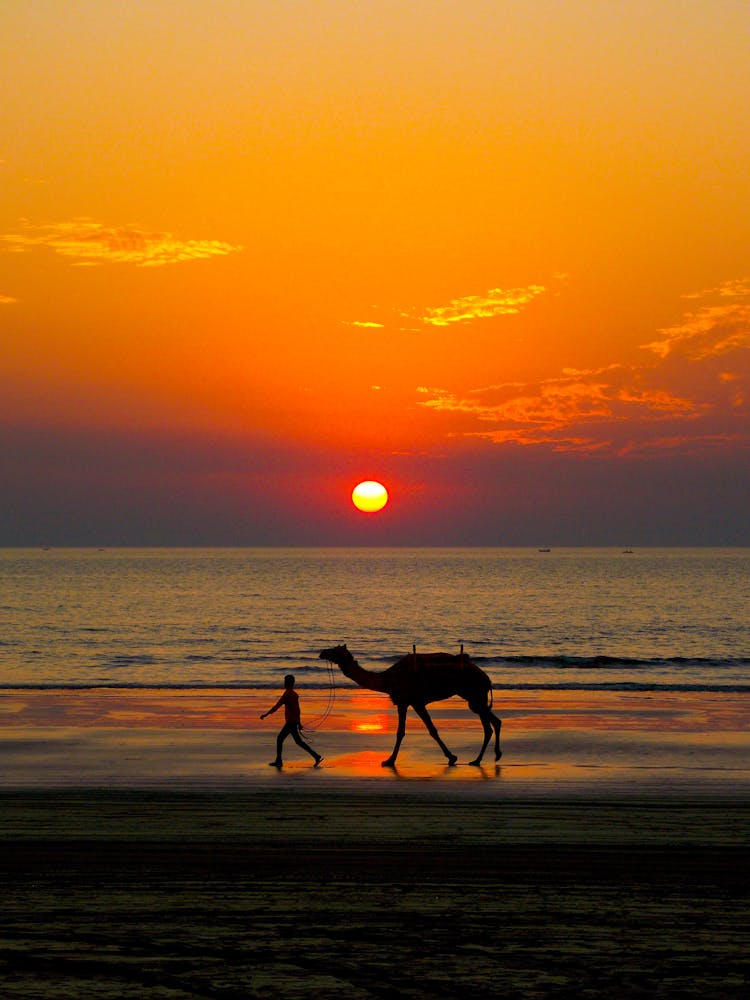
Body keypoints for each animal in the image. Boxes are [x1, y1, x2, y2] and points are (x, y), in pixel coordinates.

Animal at [318, 644, 502, 768]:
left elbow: (405, 732)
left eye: (335, 650)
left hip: (475, 695)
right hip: (475, 697)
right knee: (490, 724)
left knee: (493, 723)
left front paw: (389, 761)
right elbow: (428, 730)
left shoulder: (408, 701)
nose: (321, 652)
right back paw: (479, 759)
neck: (387, 679)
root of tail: (487, 679)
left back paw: (489, 757)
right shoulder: (413, 702)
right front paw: (451, 757)